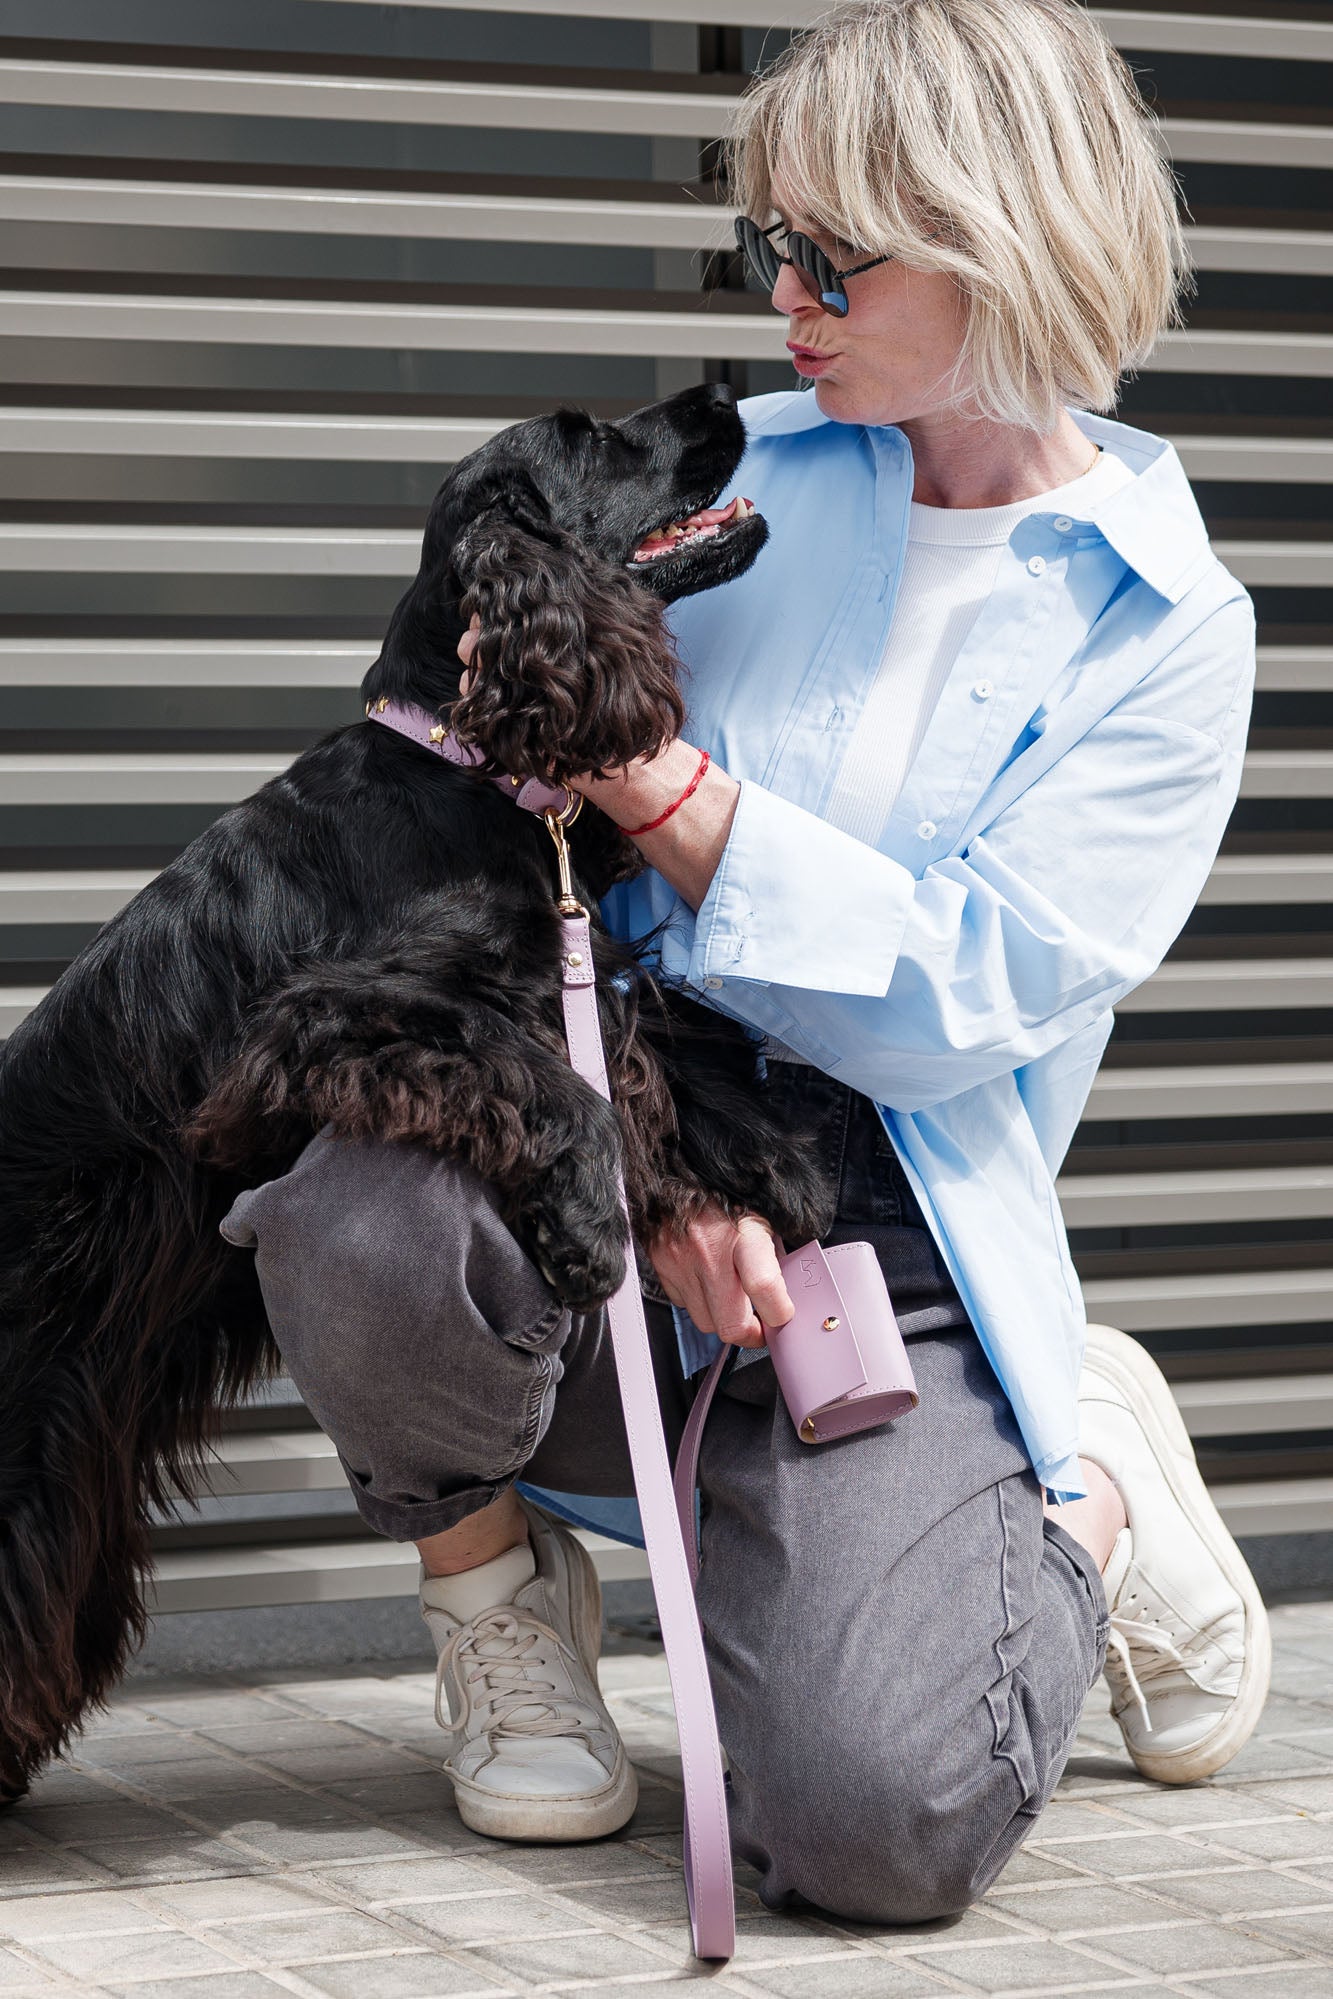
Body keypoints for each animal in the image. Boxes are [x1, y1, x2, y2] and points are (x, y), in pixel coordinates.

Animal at [0, 381, 835, 1807]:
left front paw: (769, 1158)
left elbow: (651, 1055)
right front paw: (589, 1227)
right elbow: (560, 1090)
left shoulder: (573, 959)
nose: (720, 390)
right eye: (593, 437)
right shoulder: (326, 1017)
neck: (463, 759)